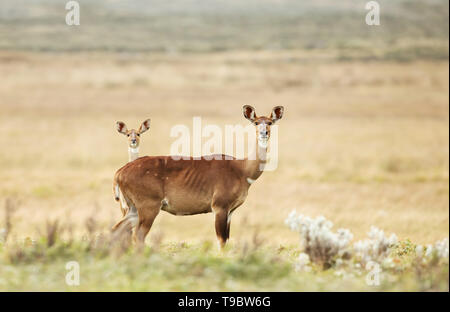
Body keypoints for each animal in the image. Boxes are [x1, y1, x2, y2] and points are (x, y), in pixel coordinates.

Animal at [111, 106, 284, 250]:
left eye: (270, 122)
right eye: (256, 122)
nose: (264, 133)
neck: (241, 169)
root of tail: (120, 172)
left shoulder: (230, 211)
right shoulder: (219, 207)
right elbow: (222, 241)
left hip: (133, 209)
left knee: (116, 230)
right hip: (148, 207)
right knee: (137, 235)